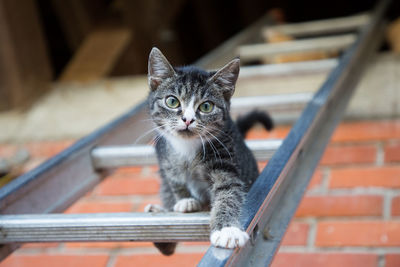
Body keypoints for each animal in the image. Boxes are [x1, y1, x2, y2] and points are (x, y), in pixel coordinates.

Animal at [145, 47, 274, 255]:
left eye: (206, 106)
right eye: (172, 101)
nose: (187, 119)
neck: (188, 147)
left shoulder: (225, 155)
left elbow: (228, 191)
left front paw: (227, 230)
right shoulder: (163, 152)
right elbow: (174, 179)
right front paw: (186, 200)